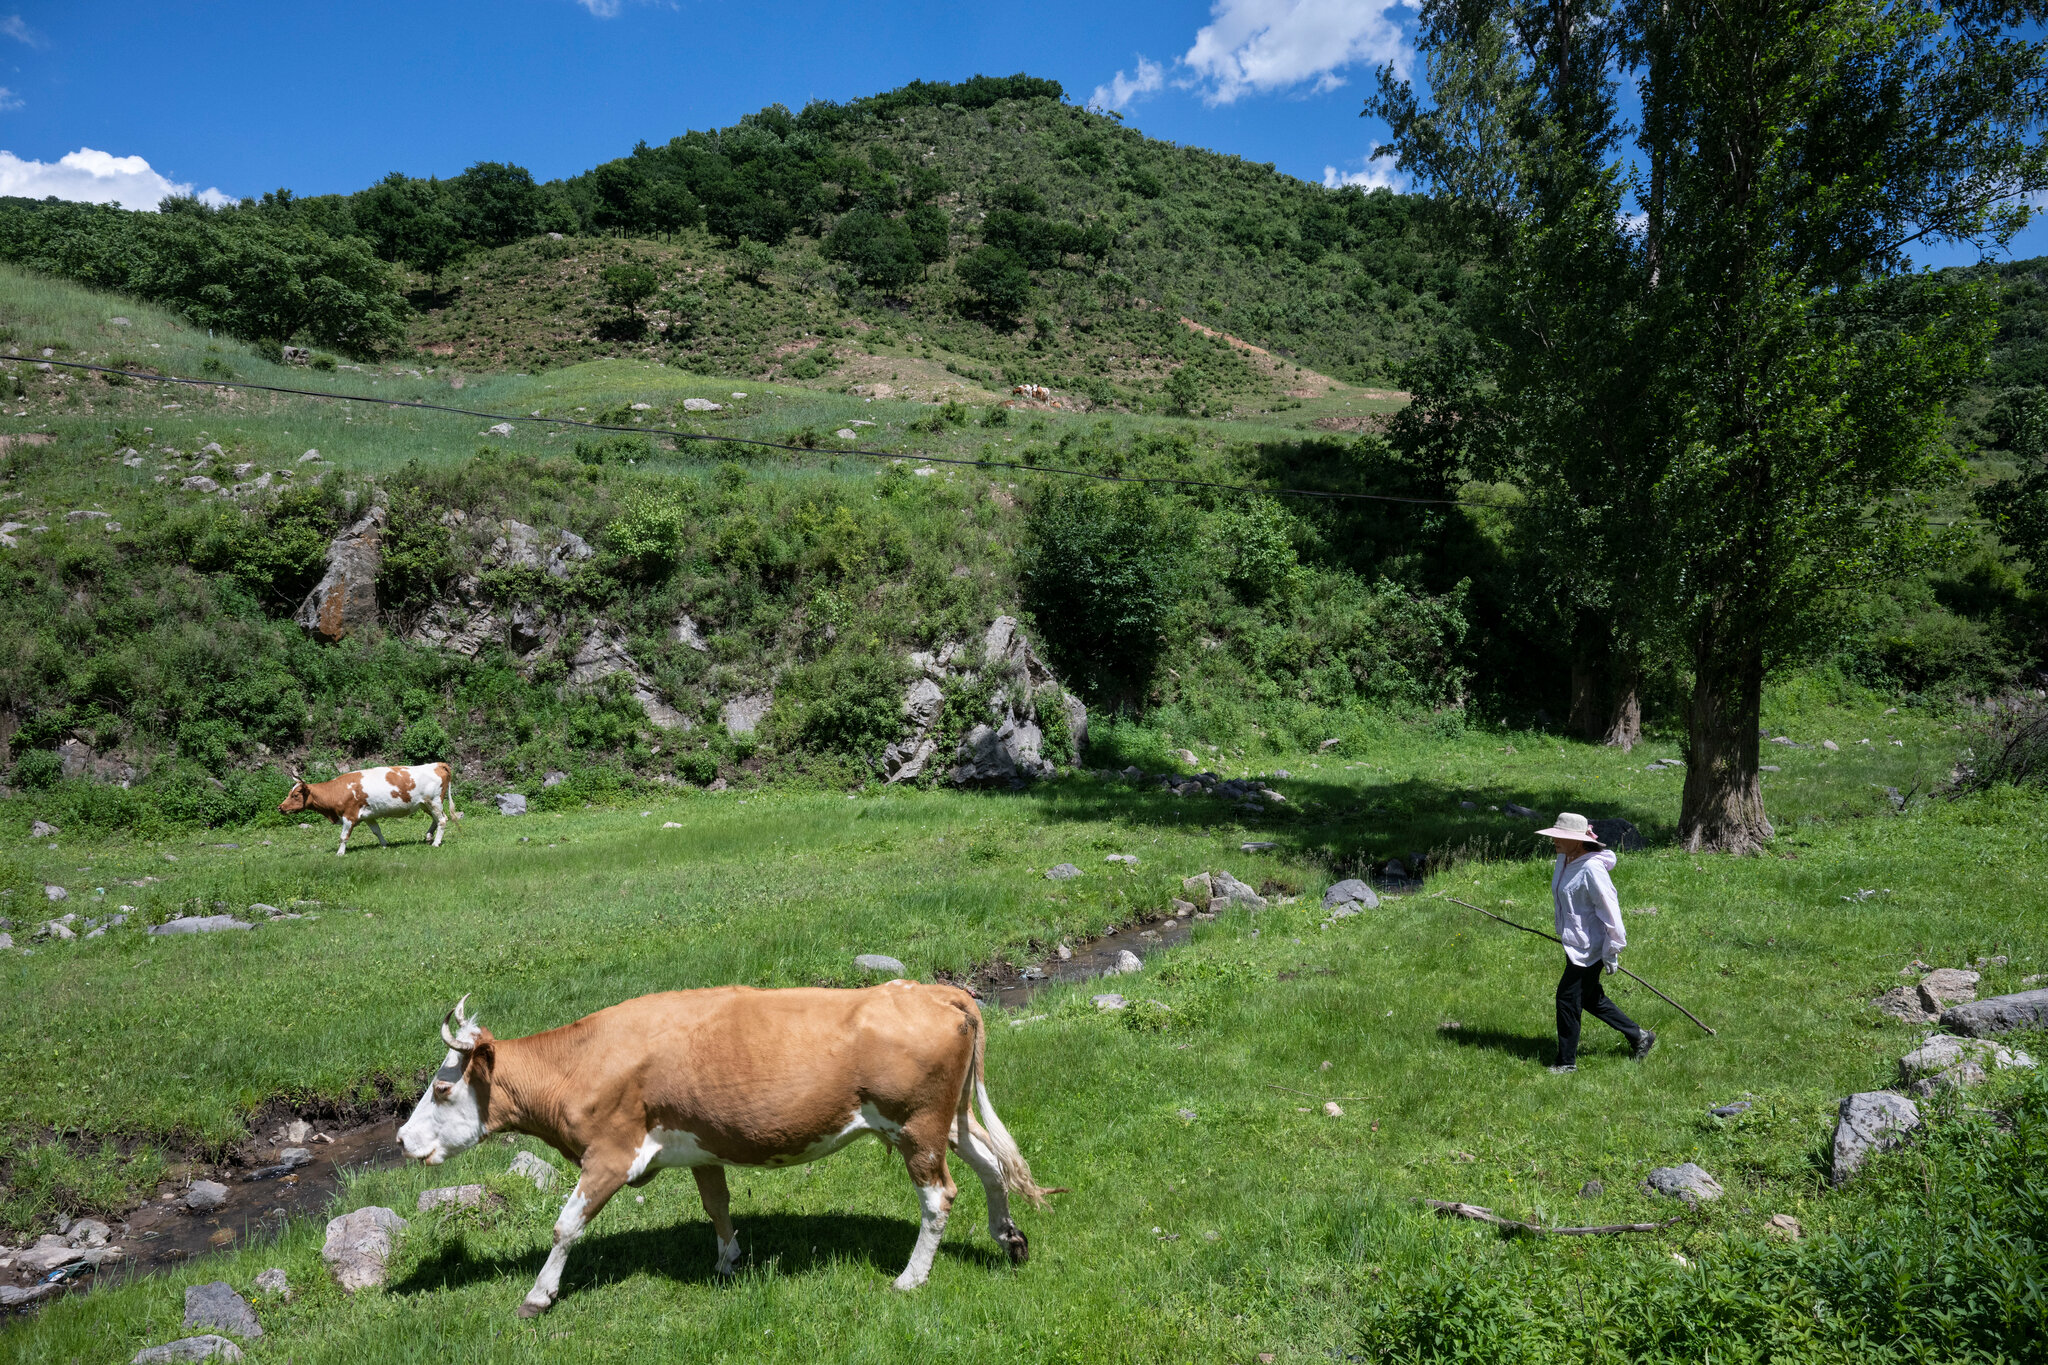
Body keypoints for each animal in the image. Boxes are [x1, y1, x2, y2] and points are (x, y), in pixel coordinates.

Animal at [278, 762, 457, 856]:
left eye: (295, 795)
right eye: (289, 793)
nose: (280, 807)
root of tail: (436, 764)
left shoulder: (349, 816)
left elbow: (343, 837)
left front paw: (340, 853)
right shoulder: (368, 816)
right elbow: (377, 831)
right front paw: (384, 845)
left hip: (433, 801)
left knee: (442, 820)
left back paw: (436, 843)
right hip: (425, 804)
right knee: (435, 819)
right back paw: (428, 836)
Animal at [398, 985, 1048, 1317]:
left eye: (442, 1088)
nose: (401, 1140)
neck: (582, 1062)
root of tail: (933, 988)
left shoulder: (610, 1155)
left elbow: (565, 1225)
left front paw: (538, 1295)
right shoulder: (701, 1146)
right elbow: (717, 1204)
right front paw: (729, 1260)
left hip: (916, 1125)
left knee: (939, 1197)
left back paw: (910, 1279)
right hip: (946, 1121)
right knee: (992, 1166)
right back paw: (1009, 1239)